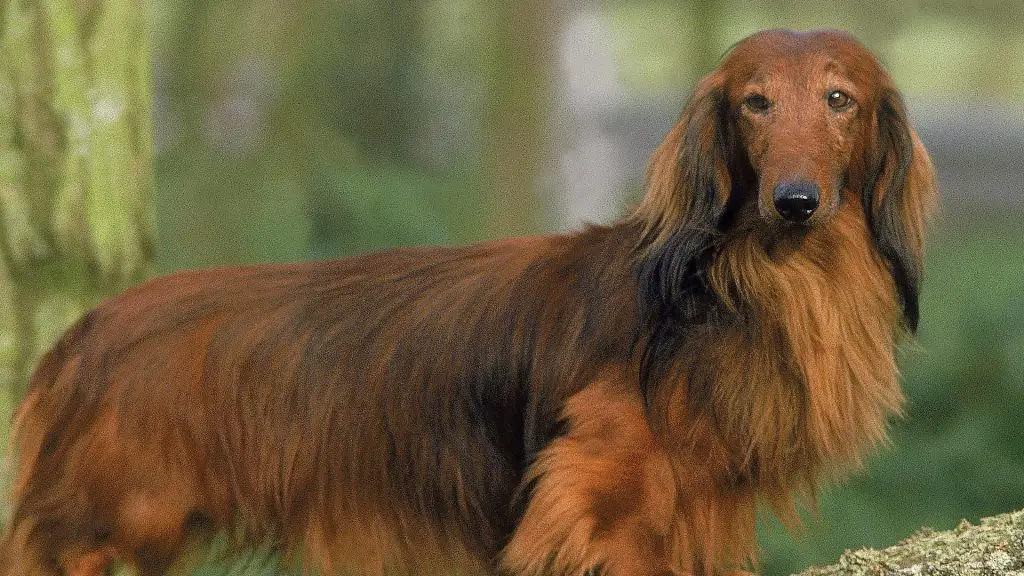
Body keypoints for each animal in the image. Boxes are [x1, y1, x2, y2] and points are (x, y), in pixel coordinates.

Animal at [4, 28, 937, 573]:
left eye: (839, 99)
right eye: (754, 103)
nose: (795, 202)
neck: (758, 281)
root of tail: (82, 333)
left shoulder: (689, 513)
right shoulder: (597, 503)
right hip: (94, 531)